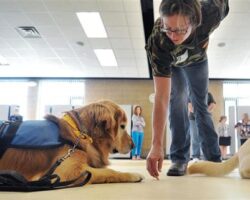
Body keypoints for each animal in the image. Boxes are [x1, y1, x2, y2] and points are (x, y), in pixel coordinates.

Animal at [0, 101, 144, 185]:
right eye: (122, 126)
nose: (133, 145)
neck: (81, 132)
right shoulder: (65, 172)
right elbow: (109, 172)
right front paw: (132, 174)